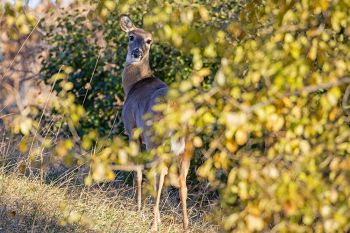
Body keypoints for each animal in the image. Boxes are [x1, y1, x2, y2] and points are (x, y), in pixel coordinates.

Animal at [119, 15, 193, 231]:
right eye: (131, 36)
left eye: (149, 40)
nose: (137, 53)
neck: (134, 85)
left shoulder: (132, 129)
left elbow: (138, 171)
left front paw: (138, 208)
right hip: (188, 144)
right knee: (183, 180)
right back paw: (185, 225)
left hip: (156, 137)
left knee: (160, 175)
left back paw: (153, 223)